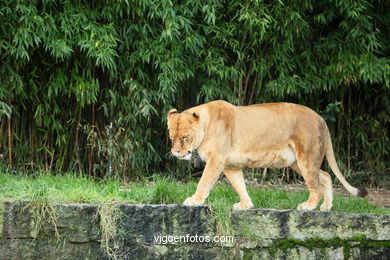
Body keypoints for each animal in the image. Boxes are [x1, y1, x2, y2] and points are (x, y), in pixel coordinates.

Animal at [166, 100, 368, 211]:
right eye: (171, 137)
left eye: (184, 137)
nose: (176, 152)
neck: (206, 126)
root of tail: (321, 119)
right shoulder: (230, 165)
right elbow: (239, 185)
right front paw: (246, 205)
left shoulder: (217, 160)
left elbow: (204, 182)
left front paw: (194, 200)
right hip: (296, 161)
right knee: (325, 176)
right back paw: (326, 207)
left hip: (306, 157)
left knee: (316, 184)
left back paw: (309, 206)